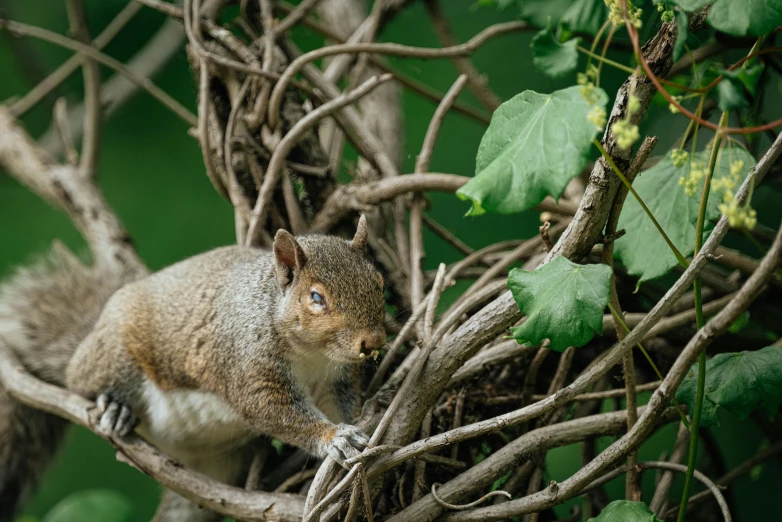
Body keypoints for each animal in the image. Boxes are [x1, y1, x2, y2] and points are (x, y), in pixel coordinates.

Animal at [0, 215, 388, 520]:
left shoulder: (337, 378)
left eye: (380, 284)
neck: (313, 355)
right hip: (114, 360)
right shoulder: (249, 363)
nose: (373, 342)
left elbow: (343, 405)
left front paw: (357, 425)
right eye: (316, 298)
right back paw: (114, 407)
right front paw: (334, 437)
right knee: (79, 380)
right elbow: (271, 410)